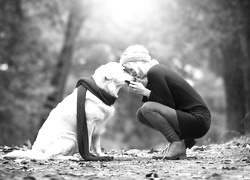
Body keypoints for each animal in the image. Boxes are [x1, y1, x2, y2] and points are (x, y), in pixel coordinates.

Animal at [3, 62, 134, 160]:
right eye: (124, 70)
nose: (135, 76)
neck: (100, 91)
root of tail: (35, 151)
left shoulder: (99, 128)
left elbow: (97, 145)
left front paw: (101, 155)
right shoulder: (89, 124)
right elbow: (88, 143)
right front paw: (90, 156)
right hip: (71, 139)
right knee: (50, 156)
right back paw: (71, 158)